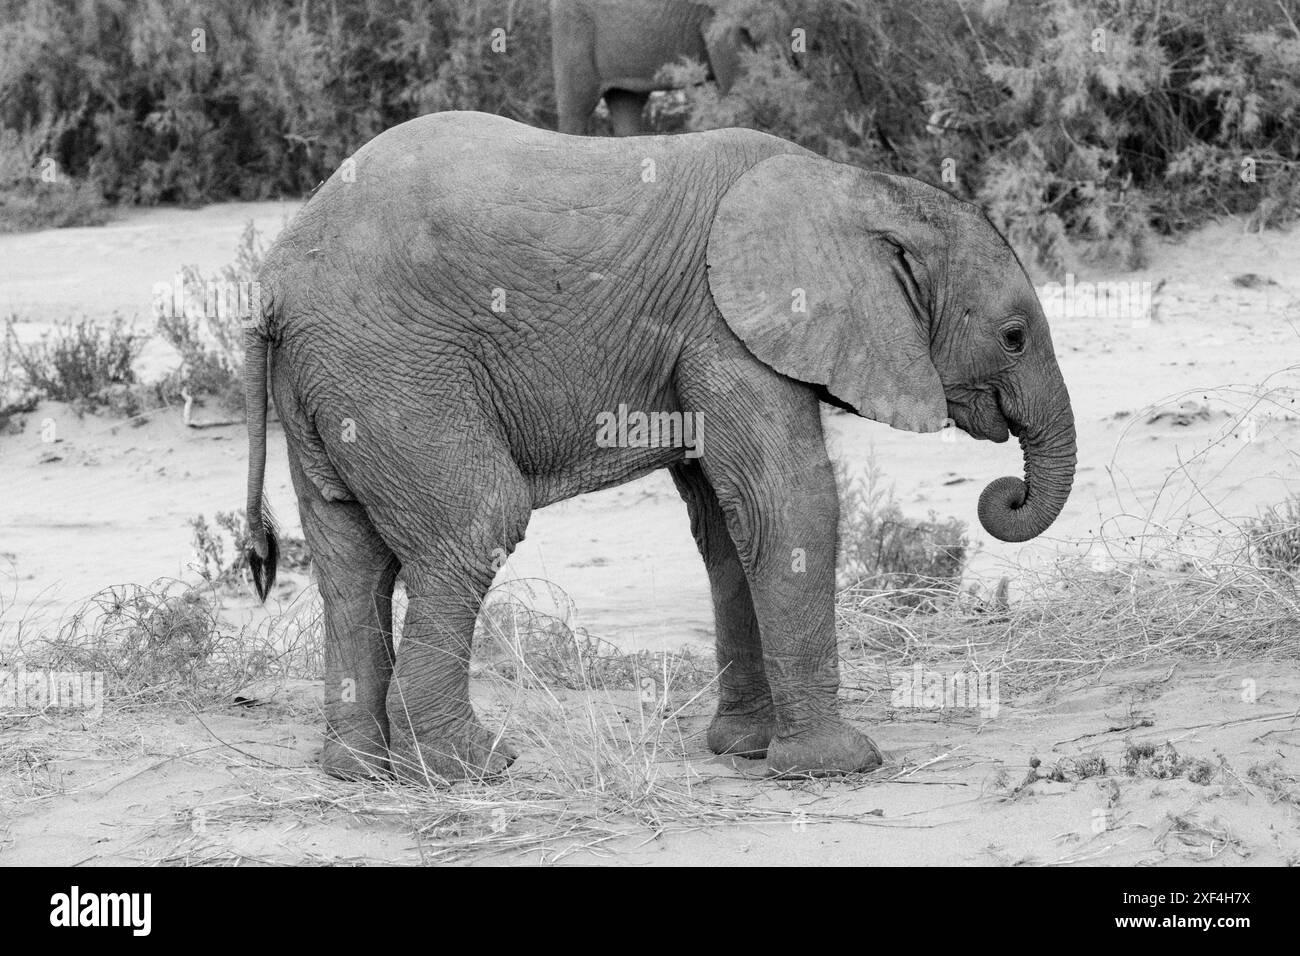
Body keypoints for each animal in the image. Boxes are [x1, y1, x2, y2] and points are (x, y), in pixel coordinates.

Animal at [244, 111, 1076, 785]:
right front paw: (838, 765)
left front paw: (745, 750)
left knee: (351, 560)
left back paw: (359, 769)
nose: (1003, 493)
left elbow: (729, 526)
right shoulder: (724, 331)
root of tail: (274, 278)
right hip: (392, 370)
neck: (855, 188)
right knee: (474, 524)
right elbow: (787, 504)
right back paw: (471, 767)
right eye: (1013, 336)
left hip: (335, 387)